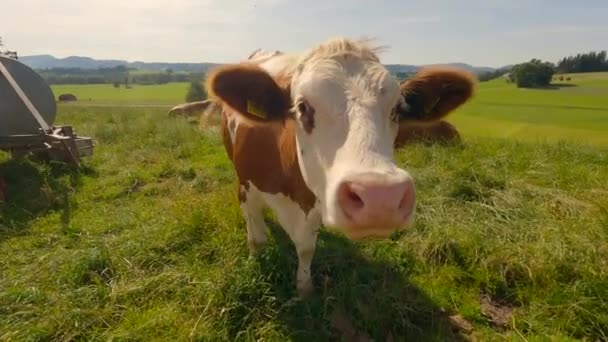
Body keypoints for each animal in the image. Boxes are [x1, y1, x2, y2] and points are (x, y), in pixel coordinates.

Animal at [204, 36, 476, 294]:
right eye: (302, 107)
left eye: (397, 109)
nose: (380, 198)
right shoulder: (246, 187)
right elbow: (257, 240)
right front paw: (254, 266)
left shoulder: (313, 203)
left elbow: (306, 248)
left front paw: (304, 288)